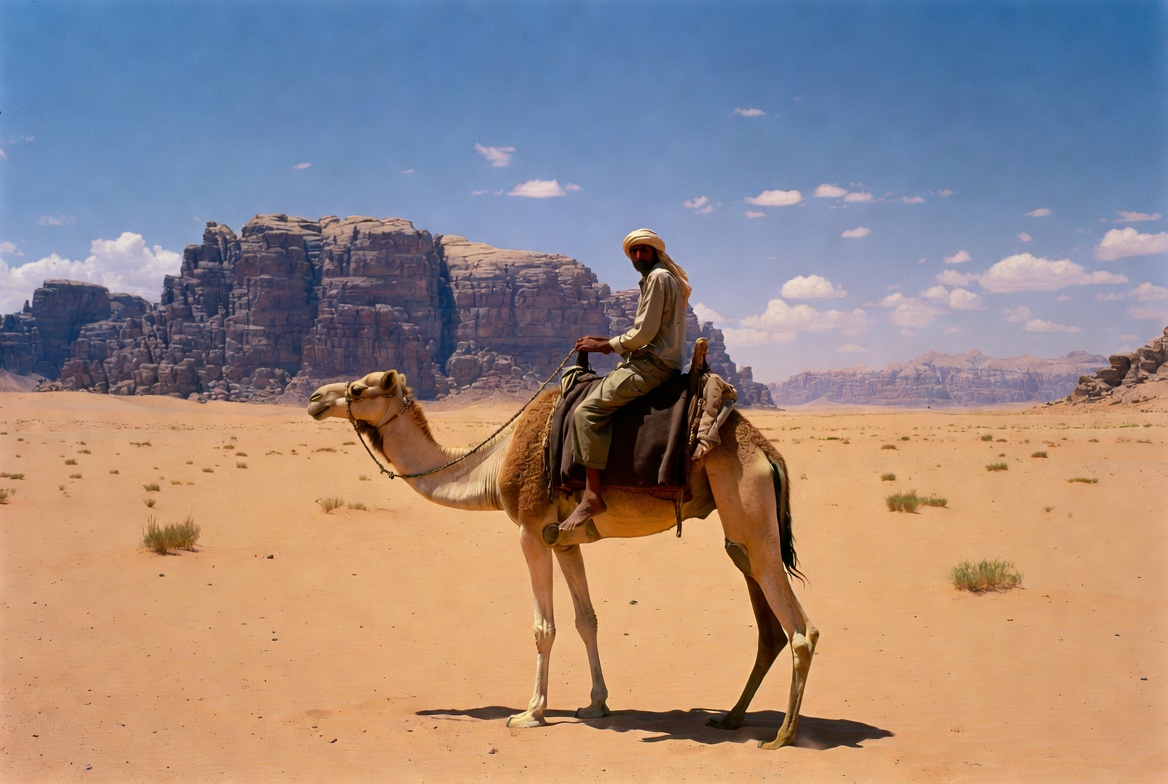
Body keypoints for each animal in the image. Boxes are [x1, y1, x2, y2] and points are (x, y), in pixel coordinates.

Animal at [307, 367, 818, 749]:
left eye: (358, 388)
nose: (314, 398)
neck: (493, 465)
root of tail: (769, 453)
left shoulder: (532, 532)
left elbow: (543, 627)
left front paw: (530, 712)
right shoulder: (565, 541)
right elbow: (586, 620)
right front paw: (596, 704)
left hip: (747, 505)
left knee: (800, 629)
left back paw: (782, 736)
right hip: (740, 530)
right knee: (766, 618)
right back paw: (731, 718)